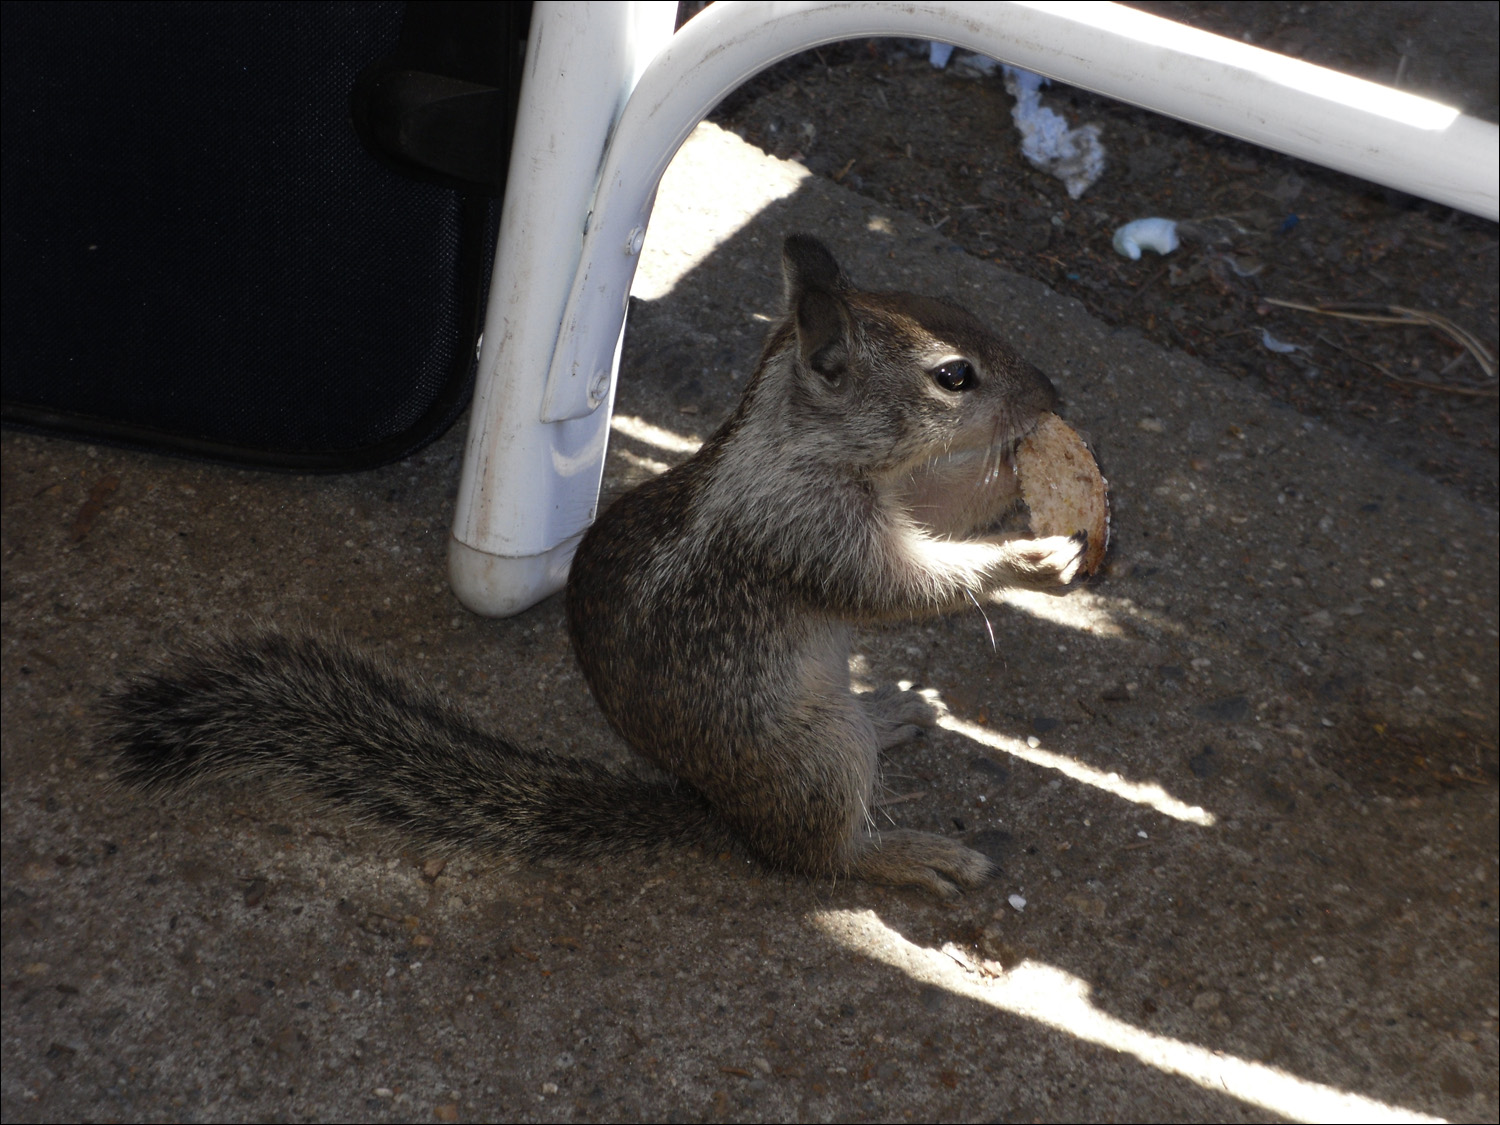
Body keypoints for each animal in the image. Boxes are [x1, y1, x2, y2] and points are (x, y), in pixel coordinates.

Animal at [108, 235, 1092, 900]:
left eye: (957, 305)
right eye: (954, 376)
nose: (1052, 393)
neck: (797, 443)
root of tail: (714, 804)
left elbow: (931, 515)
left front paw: (1017, 490)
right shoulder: (806, 532)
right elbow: (899, 588)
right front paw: (1029, 556)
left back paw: (890, 711)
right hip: (815, 755)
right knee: (815, 856)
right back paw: (907, 850)